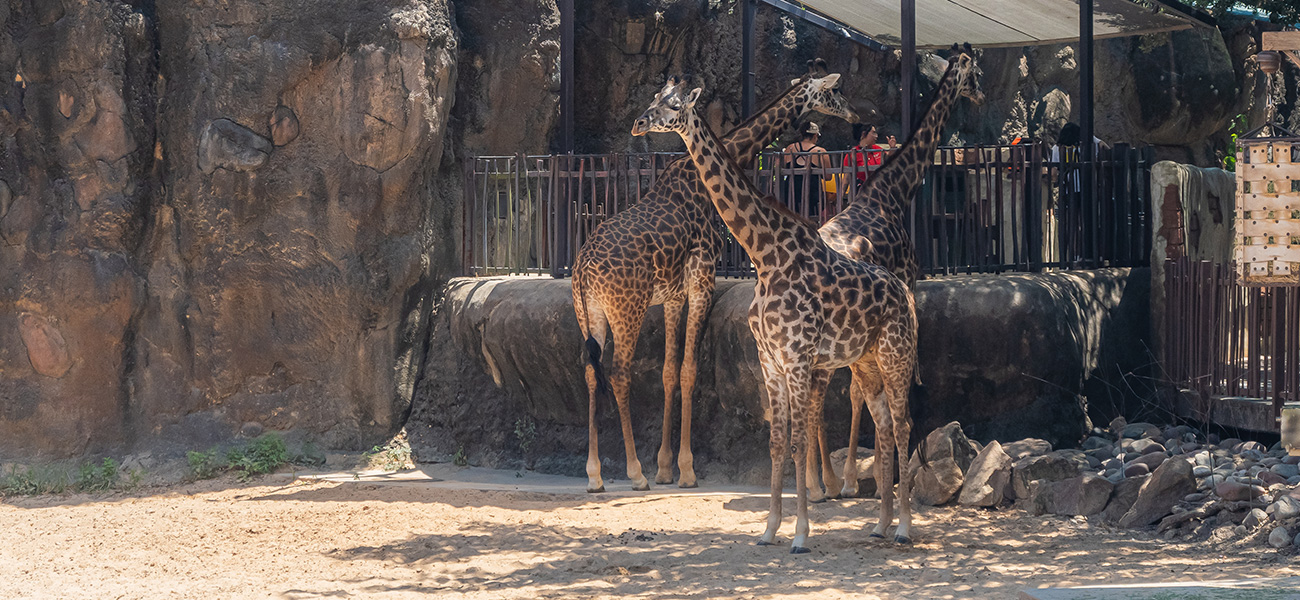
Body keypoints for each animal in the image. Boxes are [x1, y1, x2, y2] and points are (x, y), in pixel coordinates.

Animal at [573, 67, 862, 493]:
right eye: (836, 90)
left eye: (666, 100)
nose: (854, 114)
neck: (697, 181)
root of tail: (582, 269)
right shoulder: (702, 282)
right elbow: (690, 370)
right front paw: (686, 470)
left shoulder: (674, 295)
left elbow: (669, 372)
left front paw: (666, 467)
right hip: (627, 309)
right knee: (619, 374)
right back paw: (634, 473)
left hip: (588, 312)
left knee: (592, 373)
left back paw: (594, 474)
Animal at [632, 76, 919, 551]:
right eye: (654, 97)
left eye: (672, 105)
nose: (638, 122)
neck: (764, 254)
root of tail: (905, 293)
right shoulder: (770, 360)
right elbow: (777, 443)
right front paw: (769, 530)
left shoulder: (799, 358)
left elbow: (800, 441)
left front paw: (801, 534)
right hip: (866, 361)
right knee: (882, 425)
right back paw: (879, 525)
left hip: (897, 355)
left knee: (902, 424)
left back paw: (903, 529)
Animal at [811, 44, 985, 499]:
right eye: (976, 75)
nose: (981, 97)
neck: (894, 192)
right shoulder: (908, 280)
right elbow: (873, 391)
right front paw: (871, 477)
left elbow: (861, 392)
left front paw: (860, 476)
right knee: (821, 394)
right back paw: (825, 483)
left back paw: (818, 481)